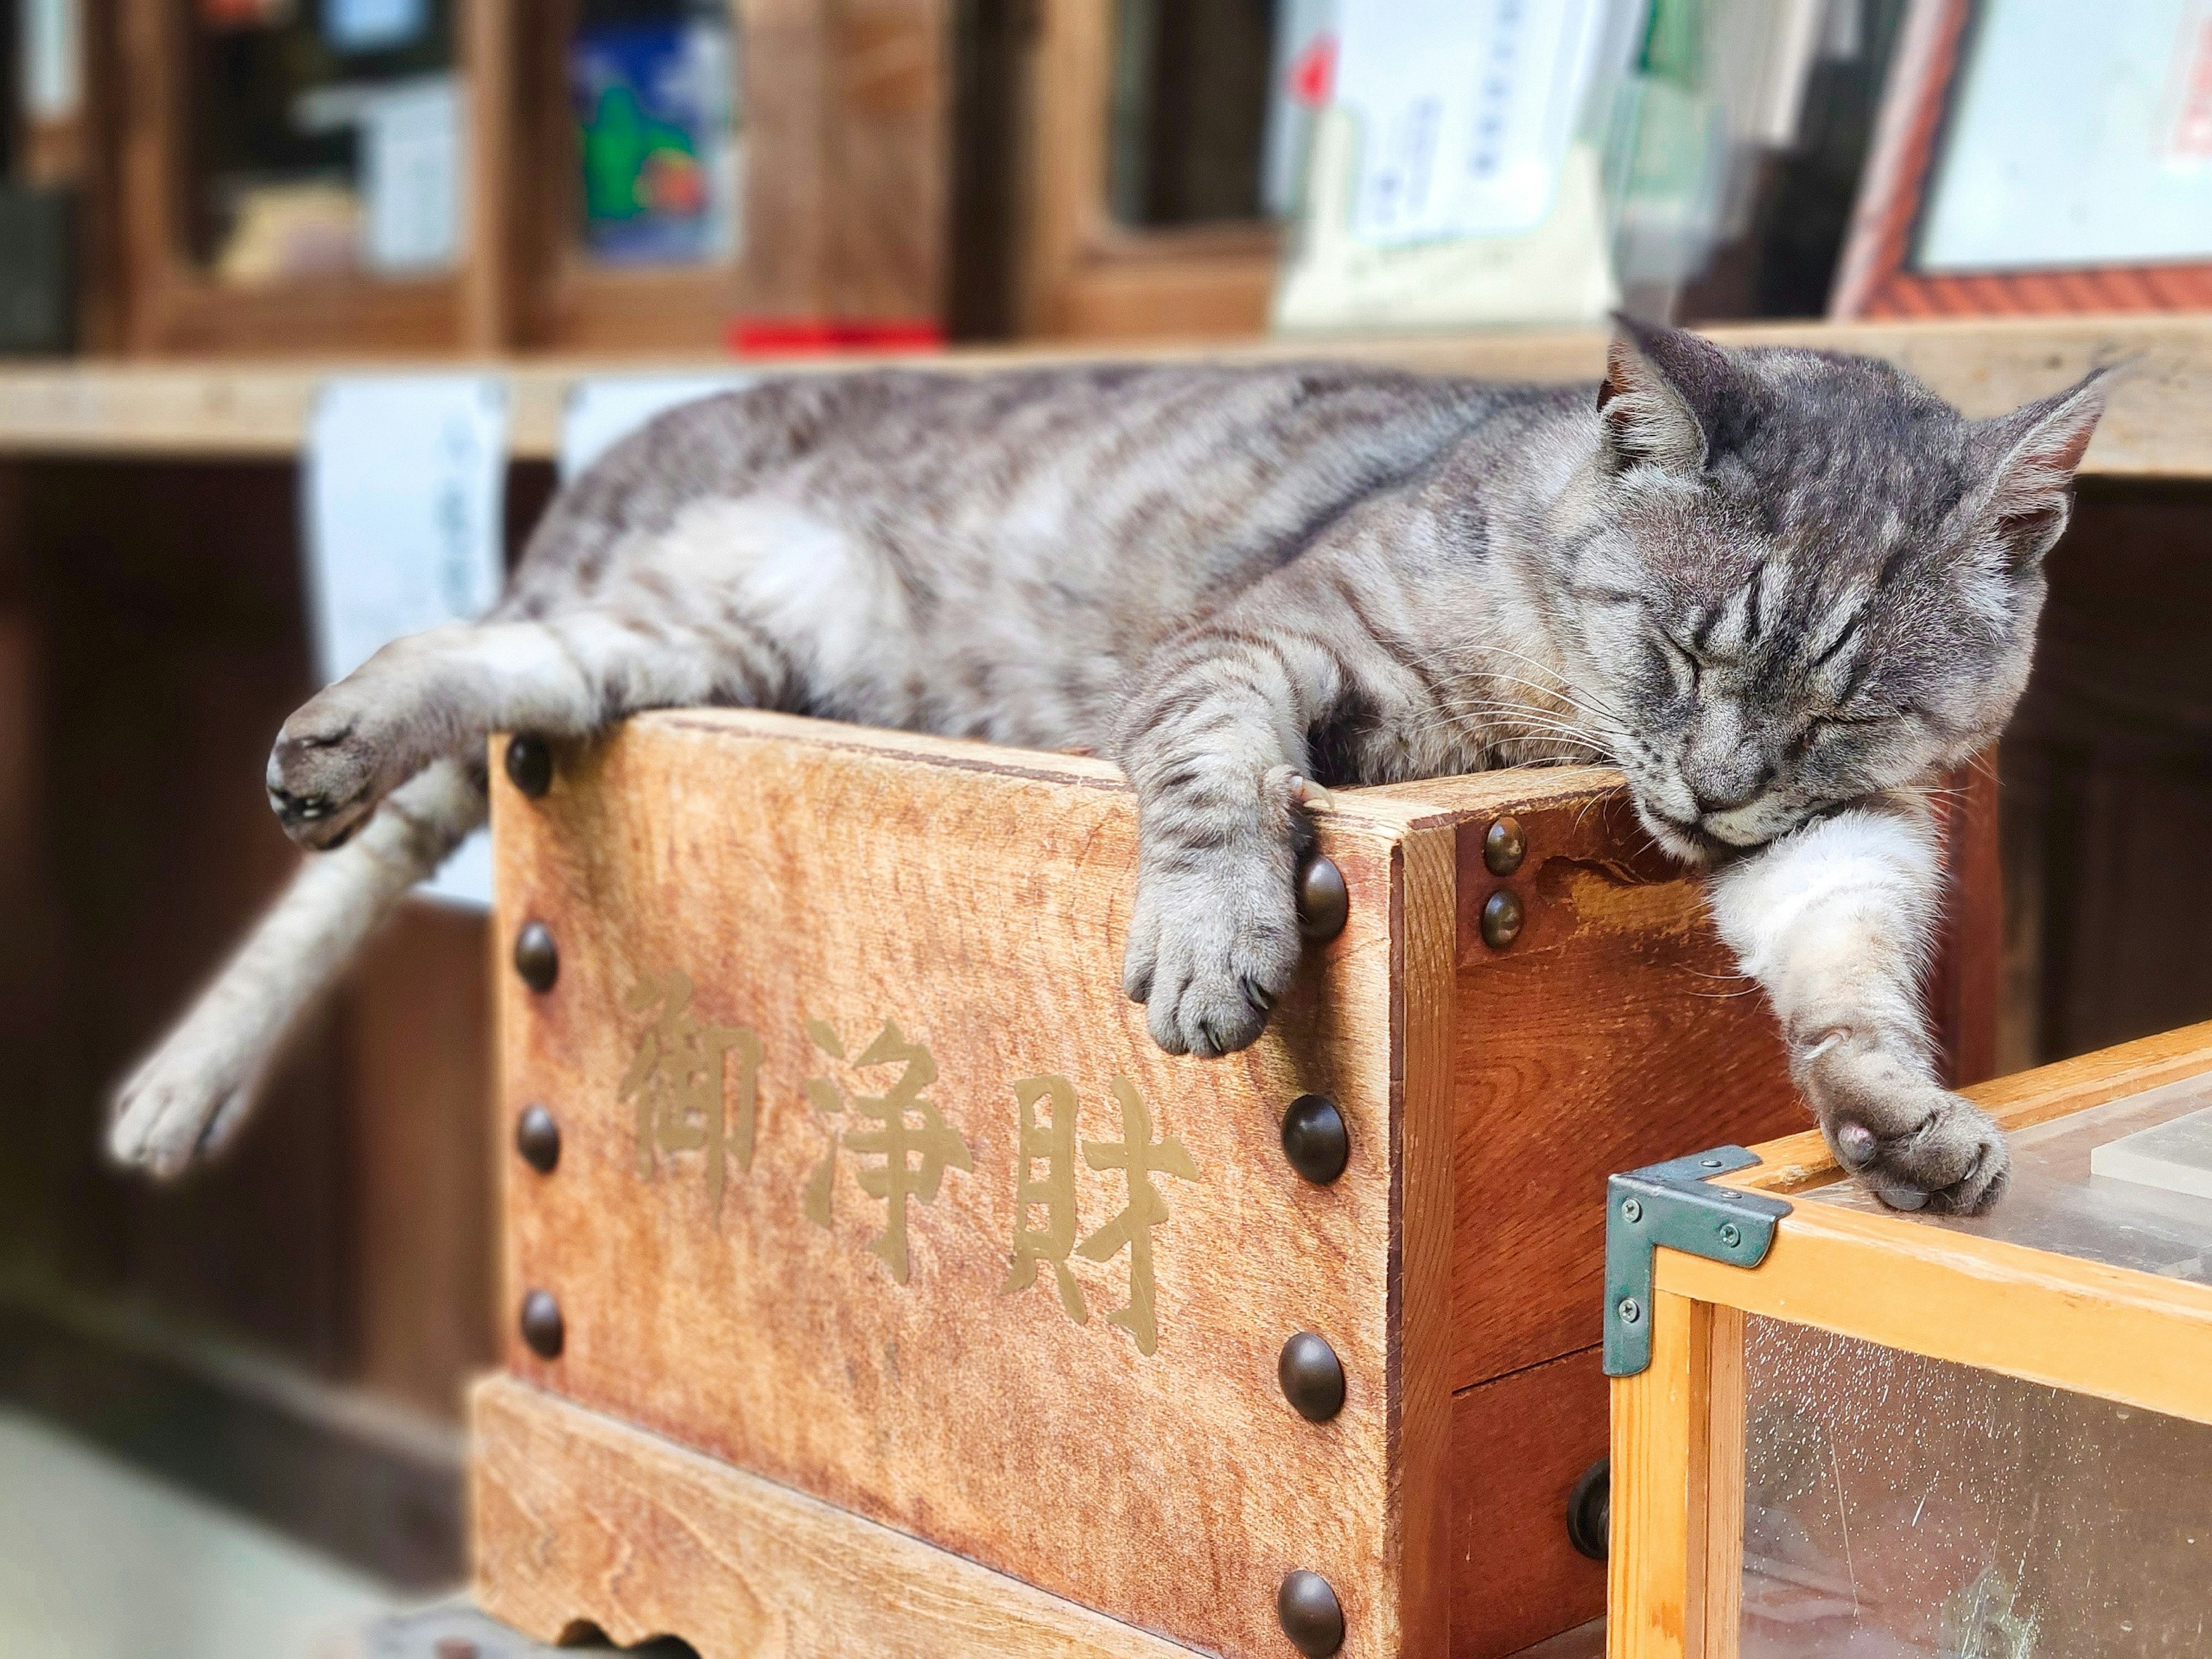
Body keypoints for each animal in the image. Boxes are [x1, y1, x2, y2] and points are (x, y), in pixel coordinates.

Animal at [108, 320, 2105, 1221]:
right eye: (1682, 649)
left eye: (1841, 707)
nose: (1708, 786)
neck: (1555, 699)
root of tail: (637, 437)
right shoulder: (1260, 644)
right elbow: (1219, 783)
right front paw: (1216, 947)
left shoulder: (1851, 833)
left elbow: (1849, 965)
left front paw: (1898, 1122)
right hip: (692, 604)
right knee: (410, 744)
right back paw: (275, 861)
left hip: (703, 642)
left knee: (512, 672)